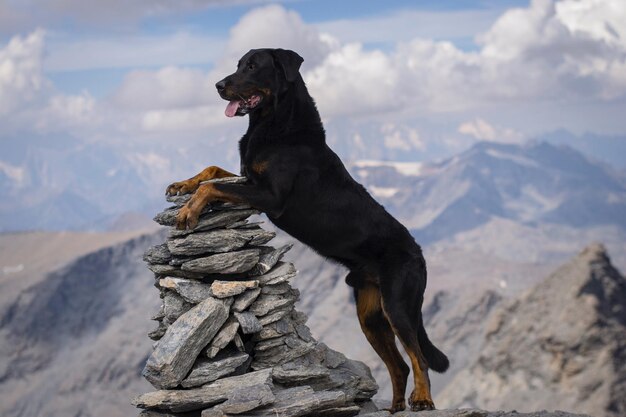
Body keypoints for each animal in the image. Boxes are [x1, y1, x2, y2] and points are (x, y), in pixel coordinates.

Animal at [166, 48, 446, 412]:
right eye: (238, 64)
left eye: (252, 66)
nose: (218, 85)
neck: (277, 123)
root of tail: (419, 252)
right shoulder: (248, 179)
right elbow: (212, 171)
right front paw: (182, 185)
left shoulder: (269, 195)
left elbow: (212, 187)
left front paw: (189, 210)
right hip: (370, 314)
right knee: (398, 364)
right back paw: (396, 406)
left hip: (398, 304)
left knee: (418, 357)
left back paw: (422, 400)